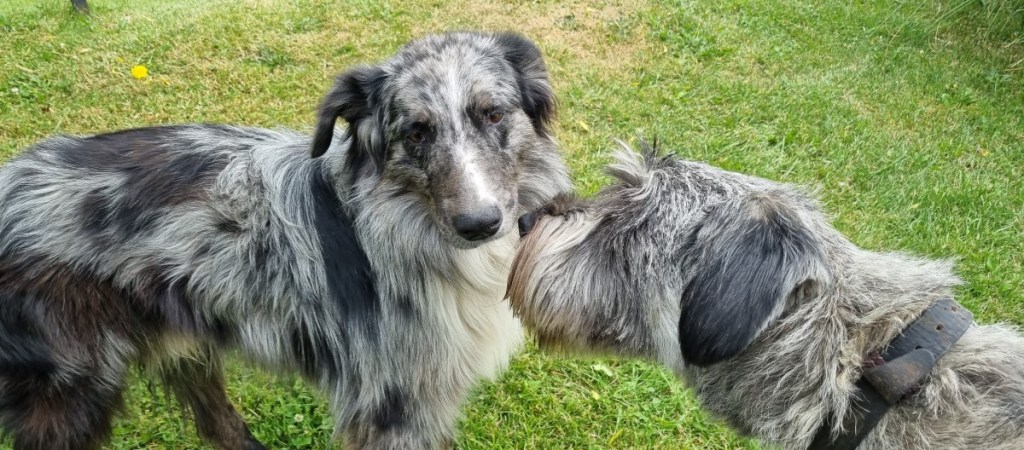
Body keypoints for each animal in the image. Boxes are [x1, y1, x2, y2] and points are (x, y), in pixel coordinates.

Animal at [0, 31, 569, 450]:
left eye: (493, 113)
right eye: (416, 133)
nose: (480, 224)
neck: (397, 223)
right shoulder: (393, 407)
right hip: (70, 391)